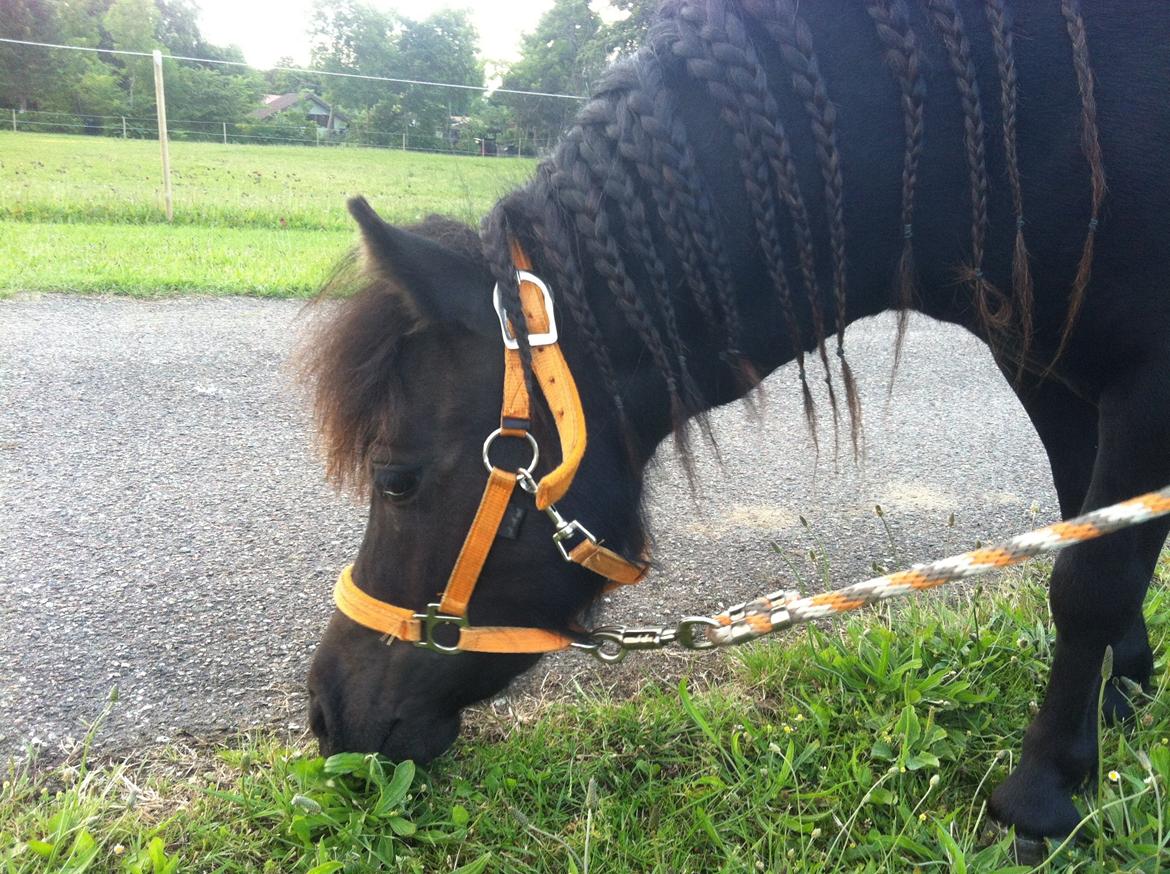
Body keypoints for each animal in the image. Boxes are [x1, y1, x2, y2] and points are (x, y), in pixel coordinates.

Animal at [299, 1, 1170, 847]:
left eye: (395, 480)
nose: (324, 712)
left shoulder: (1142, 380)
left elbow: (1090, 581)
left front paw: (1042, 795)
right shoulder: (1044, 367)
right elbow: (1089, 523)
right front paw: (1121, 694)